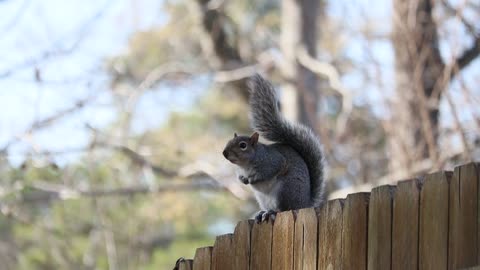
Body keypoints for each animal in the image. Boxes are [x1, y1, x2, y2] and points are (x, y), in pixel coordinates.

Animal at [223, 74, 324, 224]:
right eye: (229, 141)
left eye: (243, 145)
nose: (224, 153)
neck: (246, 165)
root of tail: (304, 204)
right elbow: (240, 176)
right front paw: (243, 179)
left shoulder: (272, 161)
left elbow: (271, 170)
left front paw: (254, 179)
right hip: (263, 199)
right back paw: (262, 213)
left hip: (285, 190)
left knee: (284, 209)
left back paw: (272, 212)